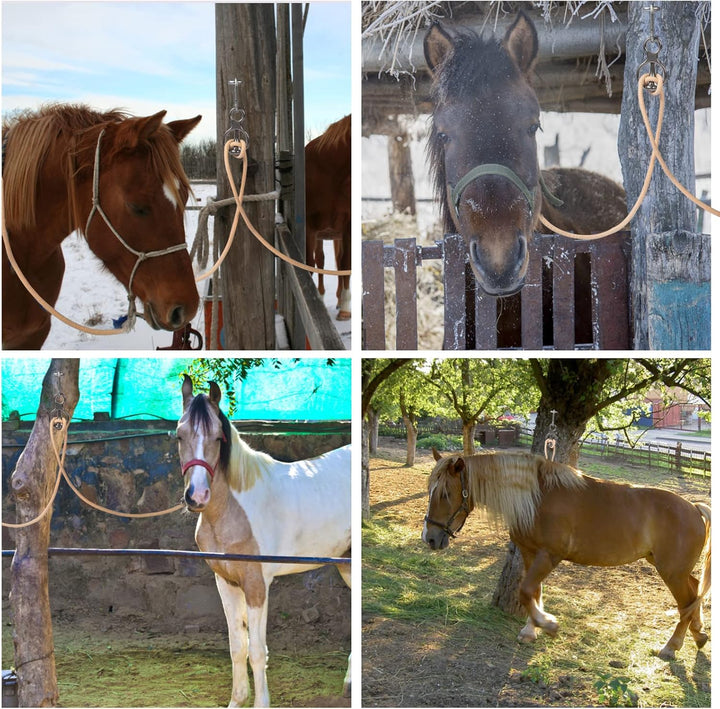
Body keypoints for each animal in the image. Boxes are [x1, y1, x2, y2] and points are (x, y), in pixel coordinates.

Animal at [177, 375, 351, 707]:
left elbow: (257, 651)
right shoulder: (227, 583)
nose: (197, 496)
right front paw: (237, 700)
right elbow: (238, 647)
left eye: (218, 438)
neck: (235, 510)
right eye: (179, 436)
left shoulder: (257, 585)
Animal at [422, 449, 711, 660]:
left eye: (445, 493)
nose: (430, 538)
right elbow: (533, 591)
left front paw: (548, 624)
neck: (537, 499)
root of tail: (694, 508)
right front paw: (530, 630)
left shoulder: (549, 556)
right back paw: (698, 634)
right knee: (695, 590)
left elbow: (526, 590)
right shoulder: (530, 553)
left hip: (671, 572)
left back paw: (671, 646)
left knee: (687, 602)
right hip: (672, 568)